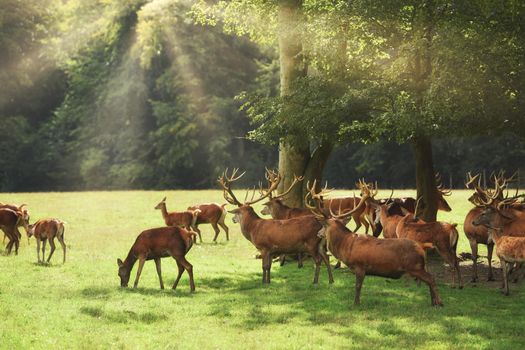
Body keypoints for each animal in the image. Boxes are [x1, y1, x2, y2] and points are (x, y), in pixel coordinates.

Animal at [304, 180, 444, 306]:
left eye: (323, 225)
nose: (318, 233)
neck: (346, 246)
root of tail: (421, 249)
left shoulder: (360, 266)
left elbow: (358, 287)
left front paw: (355, 304)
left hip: (415, 267)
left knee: (431, 278)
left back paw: (439, 303)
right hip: (417, 267)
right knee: (429, 279)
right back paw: (433, 302)